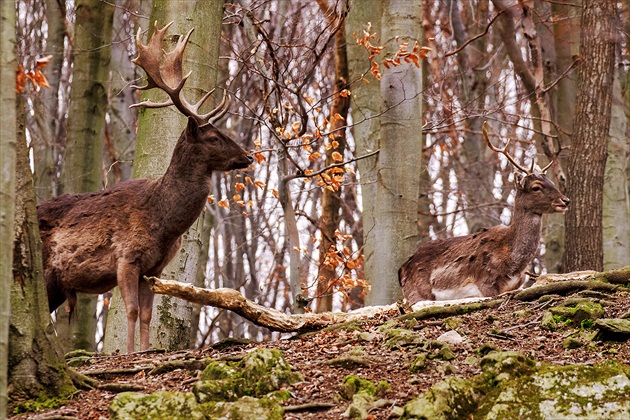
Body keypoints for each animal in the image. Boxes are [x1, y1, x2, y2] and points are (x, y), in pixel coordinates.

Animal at [37, 22, 253, 352]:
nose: (249, 156)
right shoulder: (126, 257)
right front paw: (126, 353)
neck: (163, 222)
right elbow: (131, 309)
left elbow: (148, 314)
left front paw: (147, 349)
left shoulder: (155, 269)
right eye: (214, 137)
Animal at [400, 123, 572, 304]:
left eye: (552, 182)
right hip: (417, 293)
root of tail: (402, 268)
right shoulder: (486, 282)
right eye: (536, 187)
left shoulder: (517, 284)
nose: (565, 200)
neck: (513, 261)